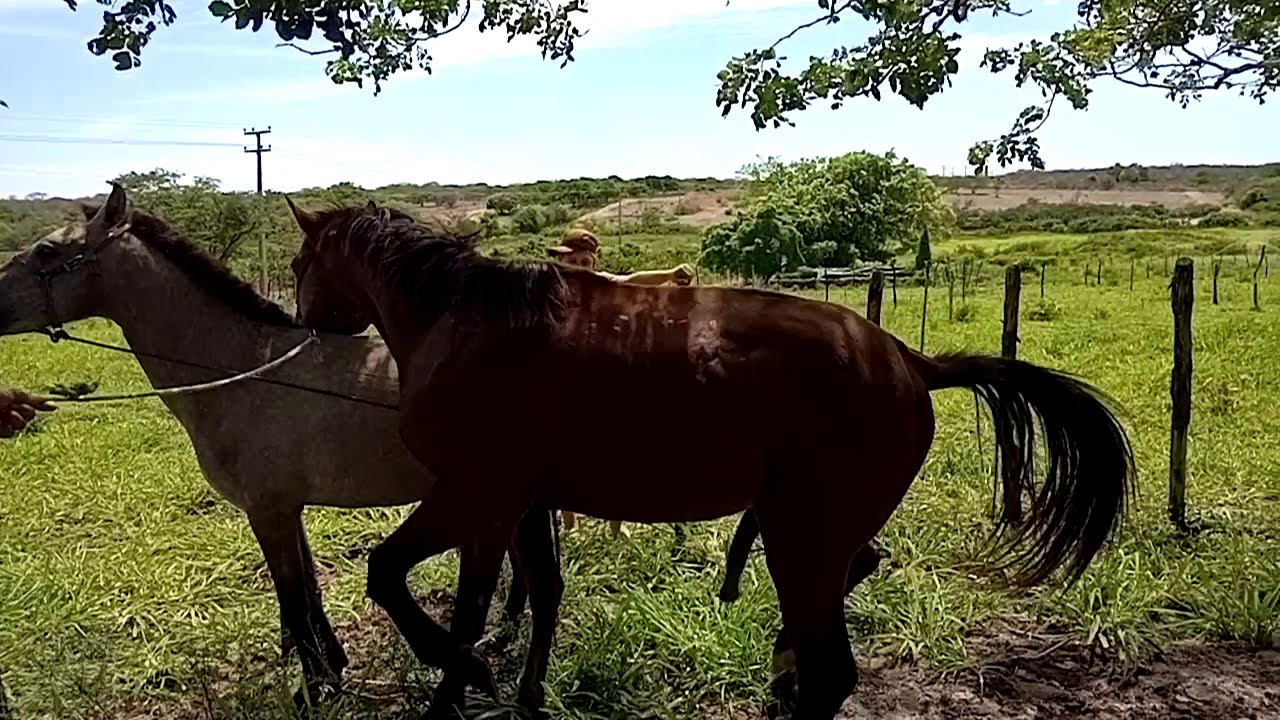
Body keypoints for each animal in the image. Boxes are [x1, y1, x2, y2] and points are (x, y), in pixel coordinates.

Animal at [286, 200, 1135, 720]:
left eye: (297, 266)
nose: (302, 325)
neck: (462, 320)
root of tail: (909, 361)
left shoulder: (472, 498)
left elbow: (409, 587)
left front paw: (460, 683)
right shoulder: (517, 505)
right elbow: (530, 598)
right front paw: (515, 692)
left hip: (801, 540)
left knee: (834, 670)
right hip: (819, 537)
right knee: (853, 584)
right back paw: (781, 668)